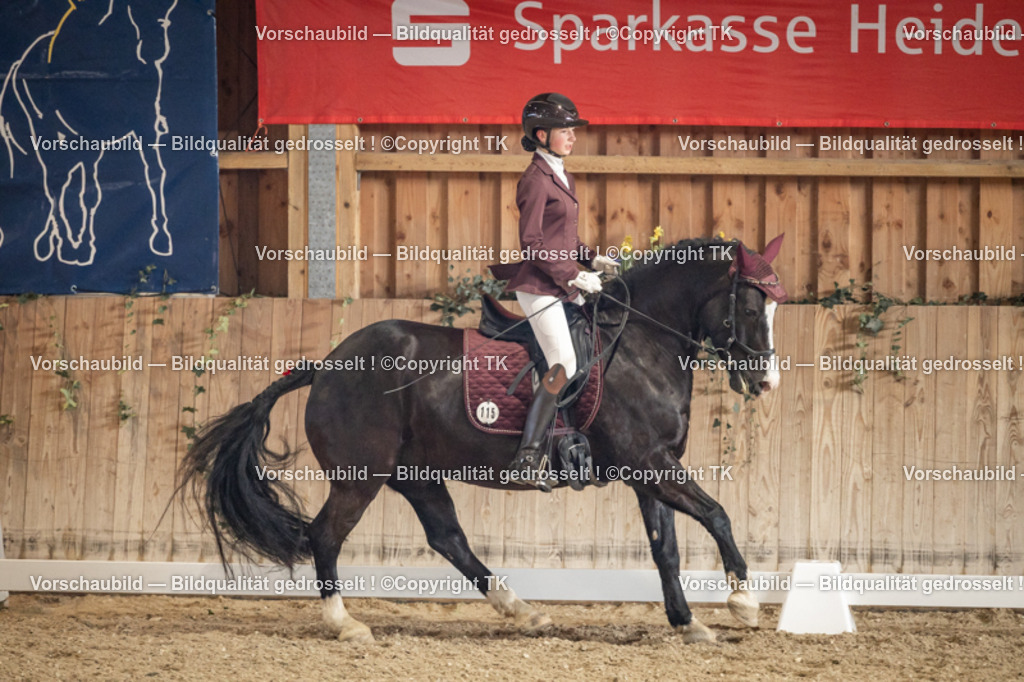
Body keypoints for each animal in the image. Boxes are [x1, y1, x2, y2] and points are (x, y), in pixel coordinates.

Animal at [179, 237, 785, 644]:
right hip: (360, 478)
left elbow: (668, 549)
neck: (640, 343)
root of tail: (327, 364)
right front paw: (743, 602)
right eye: (751, 307)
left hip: (416, 476)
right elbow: (717, 514)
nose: (765, 382)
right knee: (325, 536)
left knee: (449, 539)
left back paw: (521, 609)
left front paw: (689, 622)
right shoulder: (649, 464)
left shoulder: (650, 470)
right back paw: (345, 623)